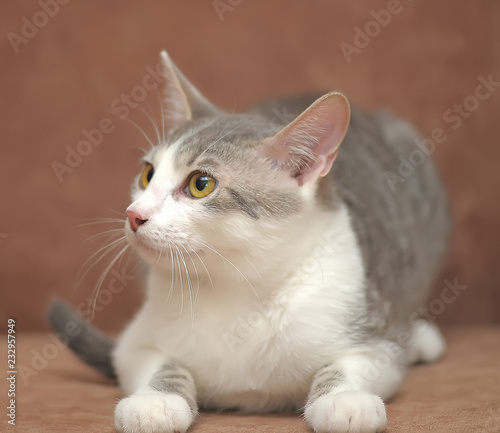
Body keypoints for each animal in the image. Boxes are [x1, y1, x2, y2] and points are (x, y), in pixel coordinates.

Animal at [48, 51, 452, 432]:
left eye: (201, 184)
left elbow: (353, 364)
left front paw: (344, 400)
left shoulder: (368, 329)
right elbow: (158, 362)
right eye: (148, 174)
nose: (135, 214)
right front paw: (156, 401)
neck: (238, 288)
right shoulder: (136, 340)